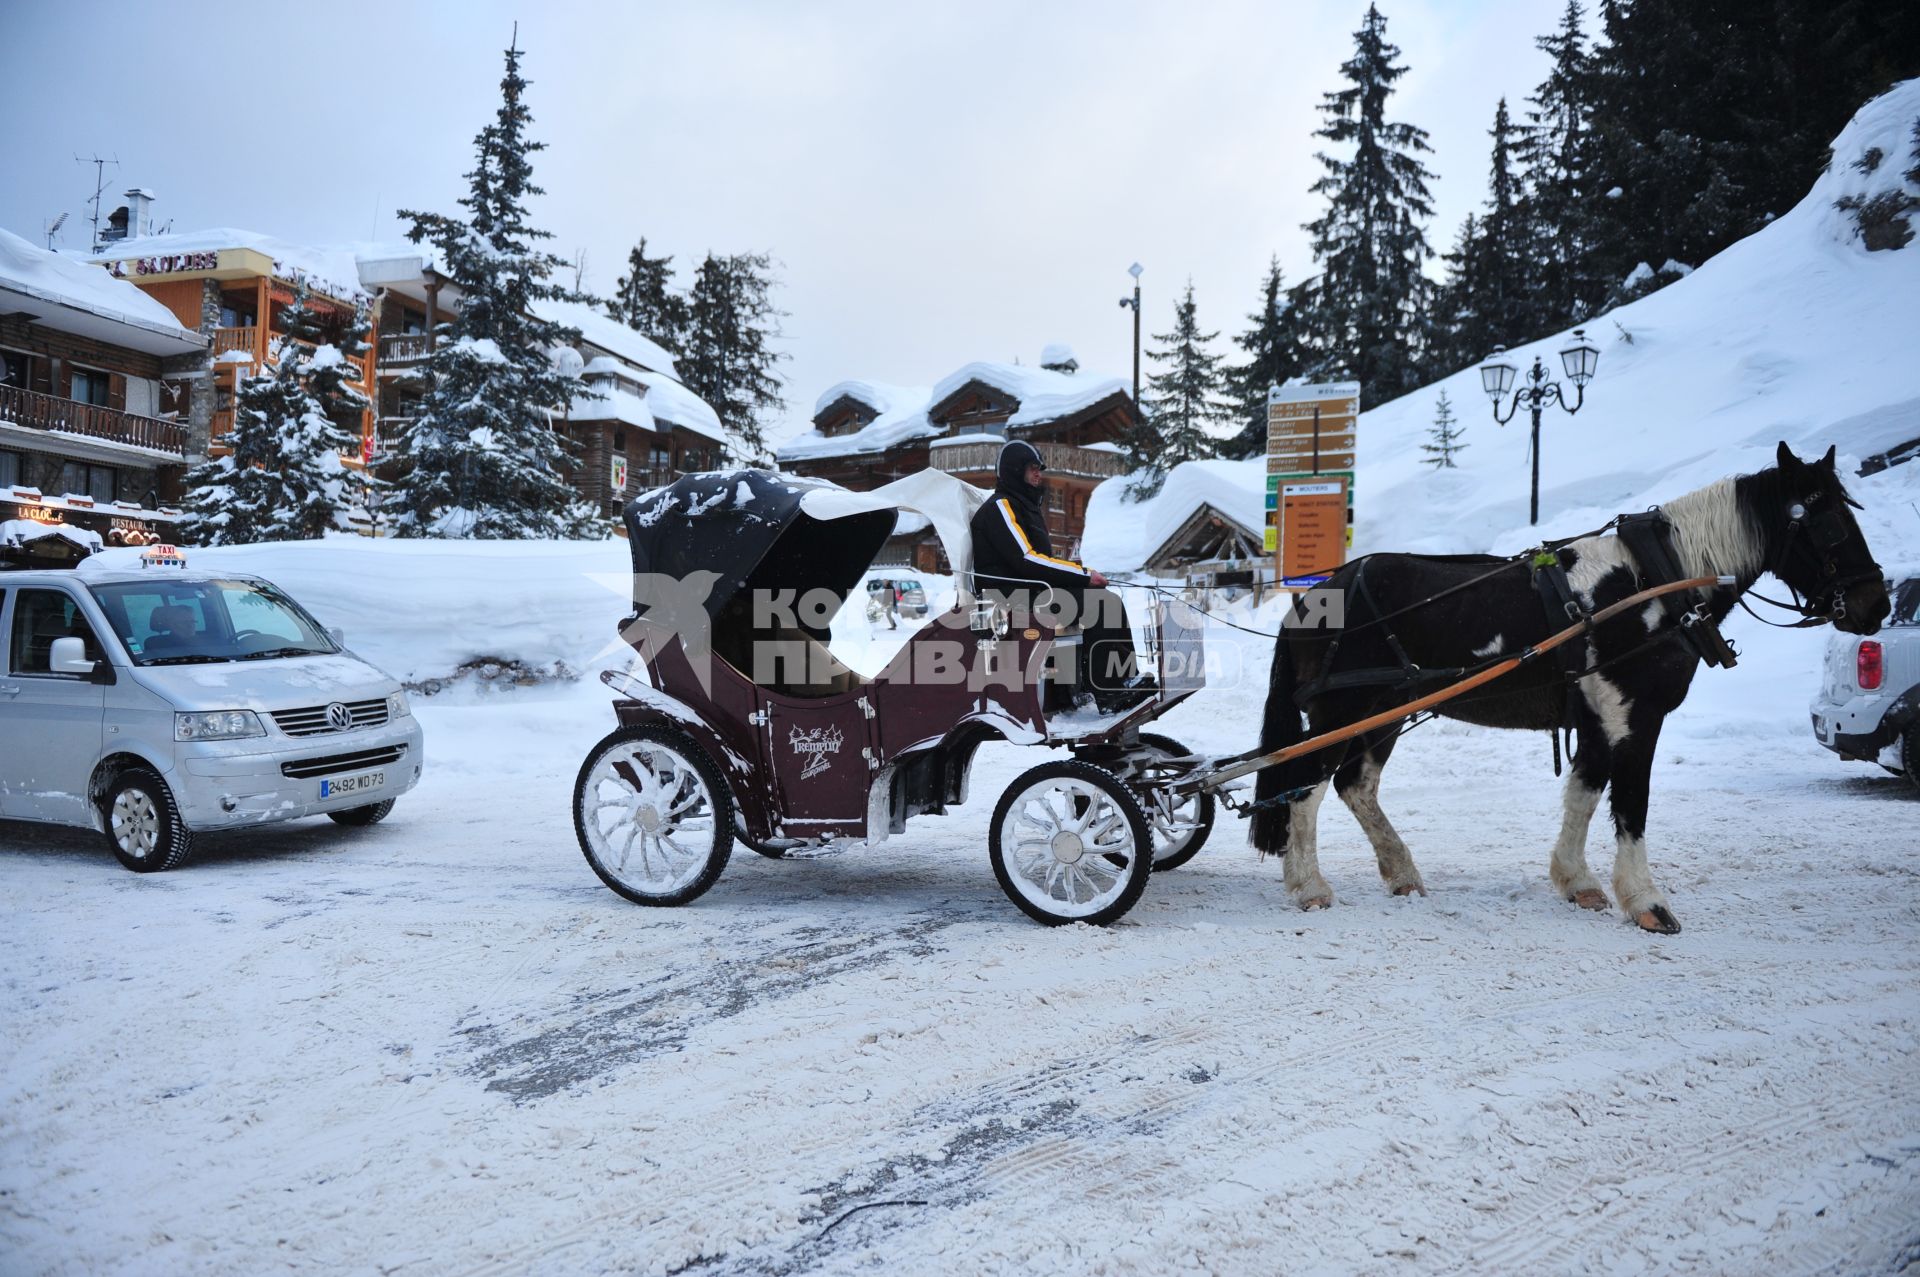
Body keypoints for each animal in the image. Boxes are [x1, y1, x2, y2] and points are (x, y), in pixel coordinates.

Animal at [1244, 443, 1889, 933]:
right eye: (1829, 522)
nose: (1875, 604)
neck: (1650, 583)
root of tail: (1316, 593)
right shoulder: (1636, 714)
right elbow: (1631, 803)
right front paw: (1647, 902)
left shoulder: (1598, 716)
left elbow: (1585, 793)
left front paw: (1577, 881)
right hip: (1341, 712)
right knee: (1306, 788)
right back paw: (1309, 885)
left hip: (1385, 710)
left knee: (1355, 785)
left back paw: (1400, 871)